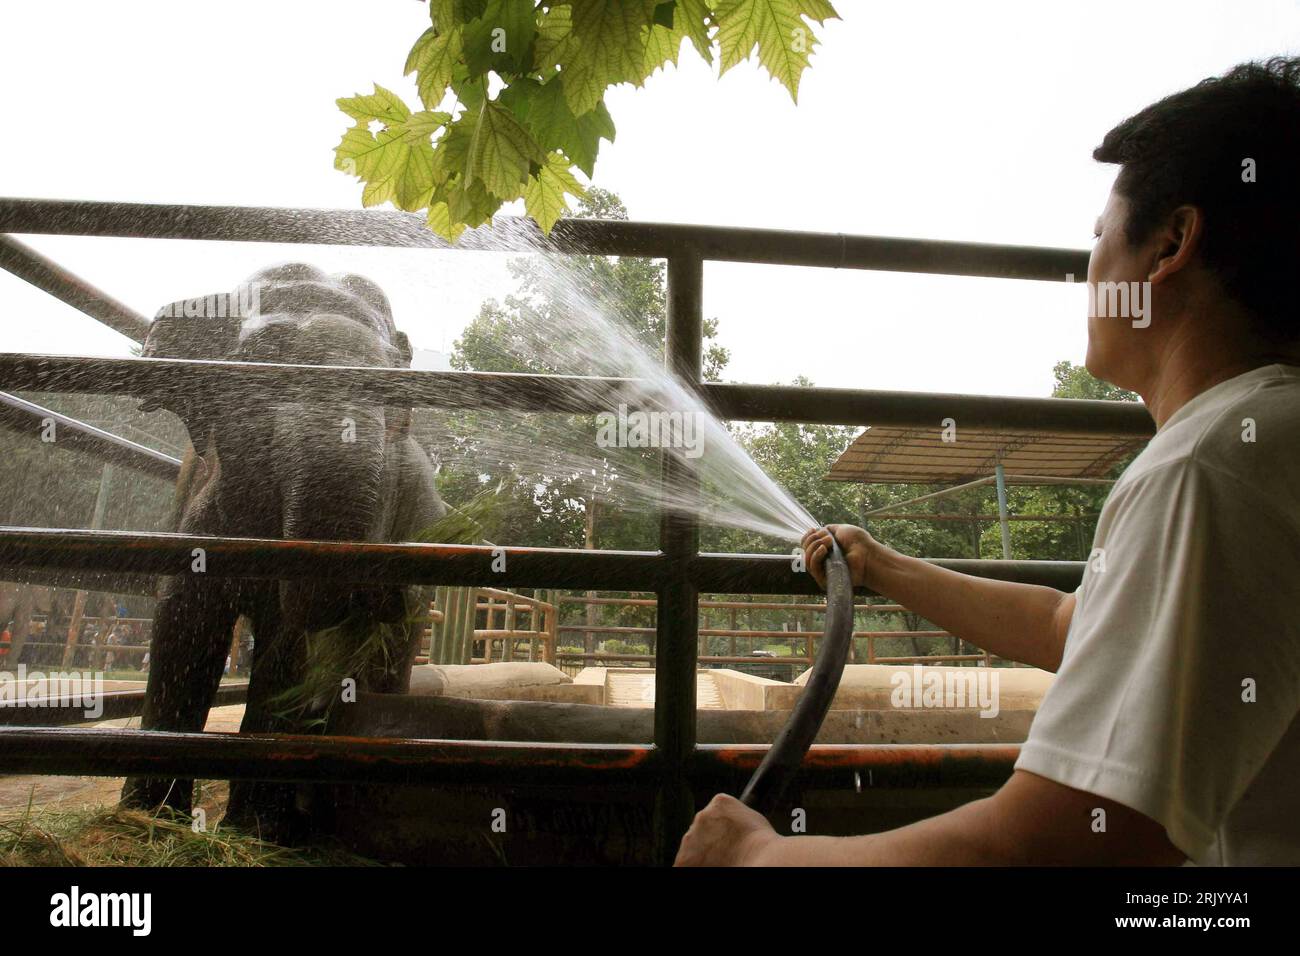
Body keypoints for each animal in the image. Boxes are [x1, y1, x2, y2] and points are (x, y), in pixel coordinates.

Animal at [122, 261, 447, 837]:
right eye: (262, 355)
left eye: (394, 378)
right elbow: (184, 625)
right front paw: (148, 817)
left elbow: (288, 644)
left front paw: (254, 829)